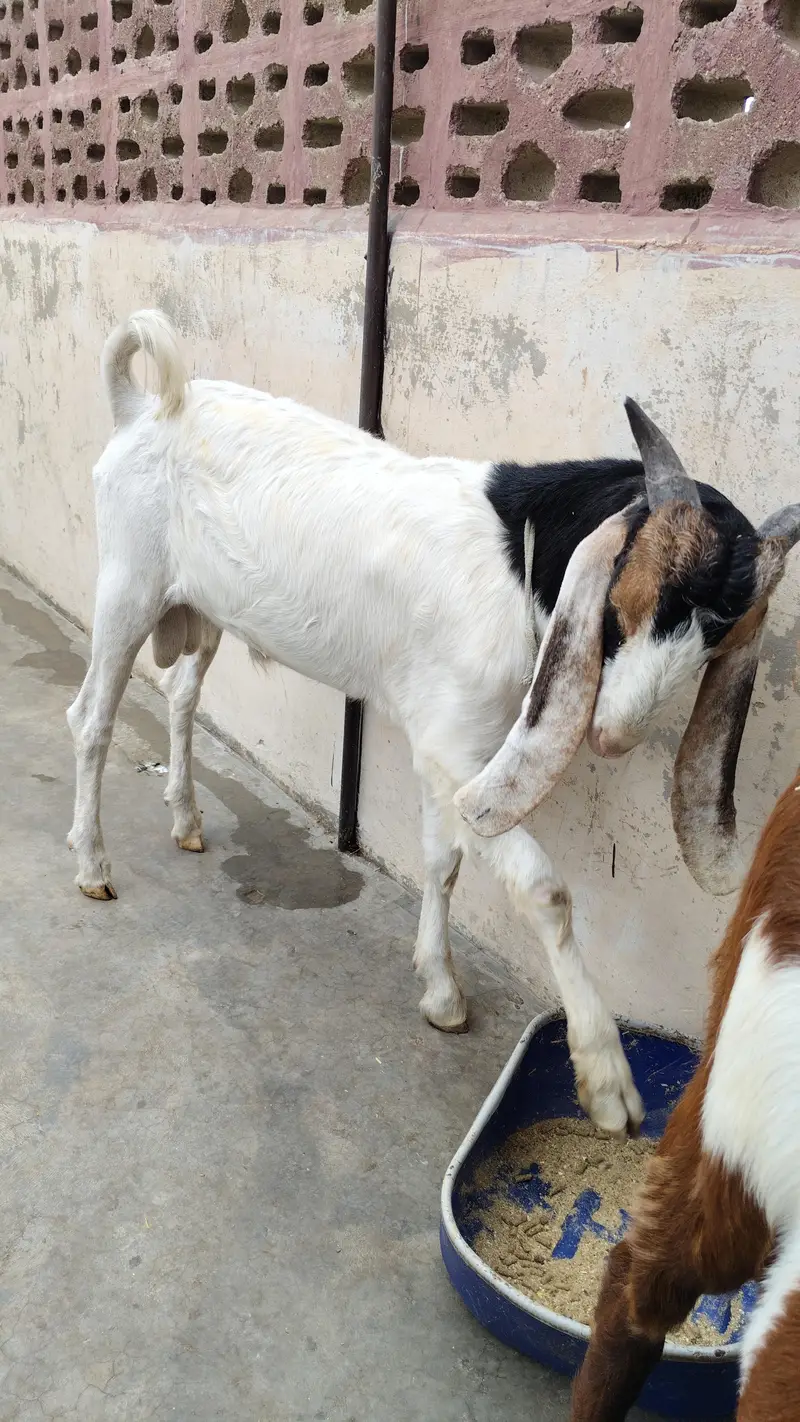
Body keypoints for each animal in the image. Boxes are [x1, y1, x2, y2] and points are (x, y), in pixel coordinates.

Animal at [66, 310, 800, 1140]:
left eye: (720, 633)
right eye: (624, 599)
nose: (614, 734)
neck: (520, 557)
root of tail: (139, 408)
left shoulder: (448, 745)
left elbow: (442, 859)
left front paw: (441, 992)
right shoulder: (454, 749)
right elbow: (543, 888)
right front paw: (607, 1077)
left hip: (203, 608)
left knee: (182, 694)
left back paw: (187, 820)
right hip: (127, 586)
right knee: (91, 716)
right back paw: (92, 866)